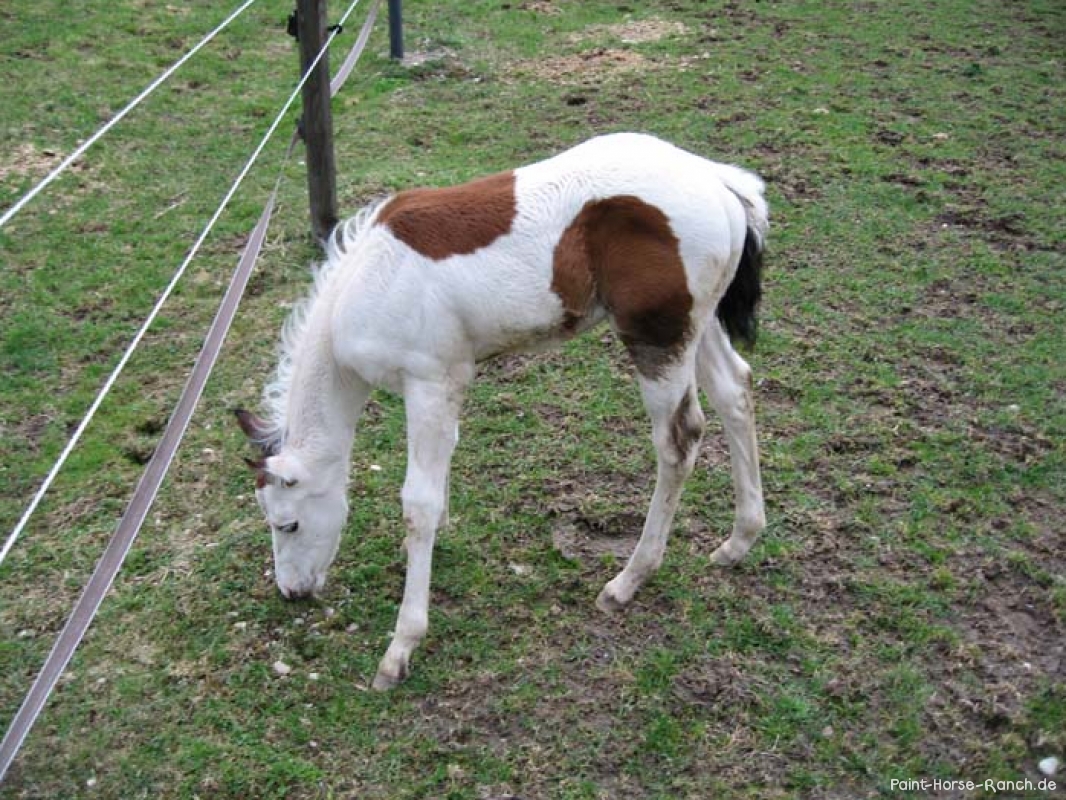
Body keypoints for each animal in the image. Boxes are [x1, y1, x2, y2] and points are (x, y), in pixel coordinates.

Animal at [236, 132, 768, 690]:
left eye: (287, 524)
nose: (292, 592)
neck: (366, 285)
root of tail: (718, 182)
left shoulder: (427, 382)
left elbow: (417, 504)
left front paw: (401, 645)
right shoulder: (449, 382)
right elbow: (443, 466)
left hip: (656, 339)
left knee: (679, 441)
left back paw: (628, 579)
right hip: (697, 326)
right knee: (735, 391)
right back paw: (739, 541)